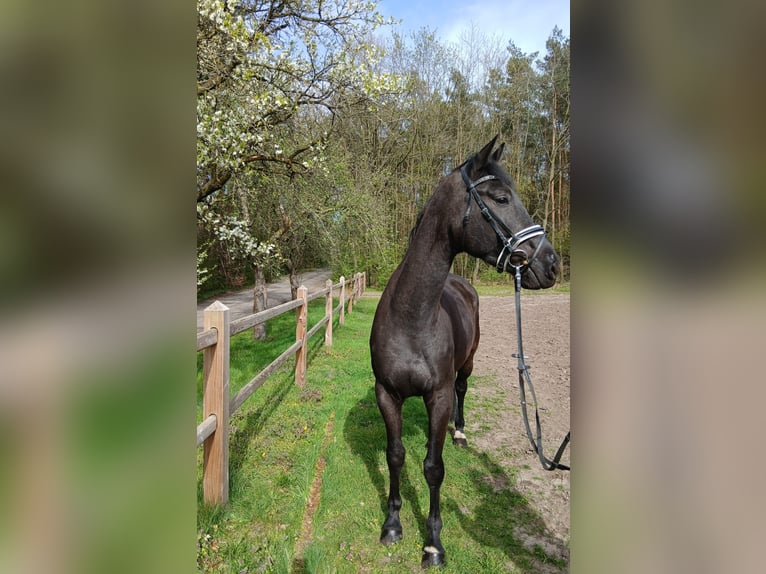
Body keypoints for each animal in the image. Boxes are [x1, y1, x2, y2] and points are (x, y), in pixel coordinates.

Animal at [369, 136, 559, 568]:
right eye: (502, 197)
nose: (552, 264)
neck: (411, 316)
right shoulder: (387, 394)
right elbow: (395, 455)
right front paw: (392, 525)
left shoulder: (437, 397)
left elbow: (433, 467)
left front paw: (433, 544)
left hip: (467, 365)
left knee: (462, 391)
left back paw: (458, 433)